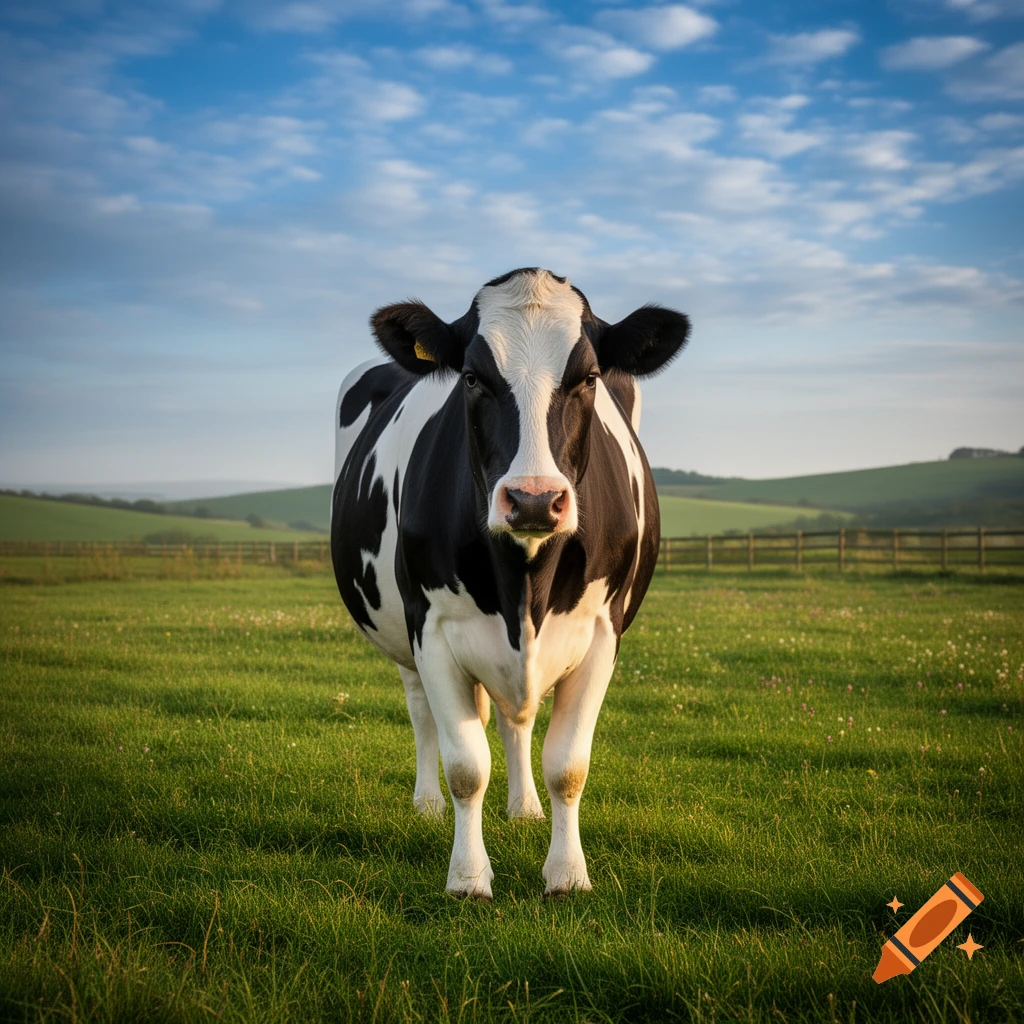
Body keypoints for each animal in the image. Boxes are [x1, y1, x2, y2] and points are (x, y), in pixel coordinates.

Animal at [331, 268, 690, 898]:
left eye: (588, 377)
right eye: (472, 377)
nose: (533, 500)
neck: (524, 582)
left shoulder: (602, 632)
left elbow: (567, 764)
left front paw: (567, 874)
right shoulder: (432, 628)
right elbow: (466, 766)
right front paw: (469, 877)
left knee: (513, 720)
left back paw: (524, 807)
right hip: (402, 632)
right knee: (425, 713)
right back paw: (427, 803)